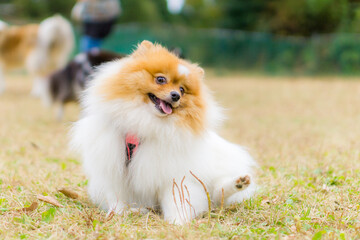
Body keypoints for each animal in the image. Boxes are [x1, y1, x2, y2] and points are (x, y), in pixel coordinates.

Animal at [70, 40, 256, 223]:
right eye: (160, 79)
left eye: (182, 90)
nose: (175, 96)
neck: (146, 121)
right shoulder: (112, 166)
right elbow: (115, 197)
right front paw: (117, 214)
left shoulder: (172, 172)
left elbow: (176, 200)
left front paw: (176, 222)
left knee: (219, 192)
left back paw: (238, 182)